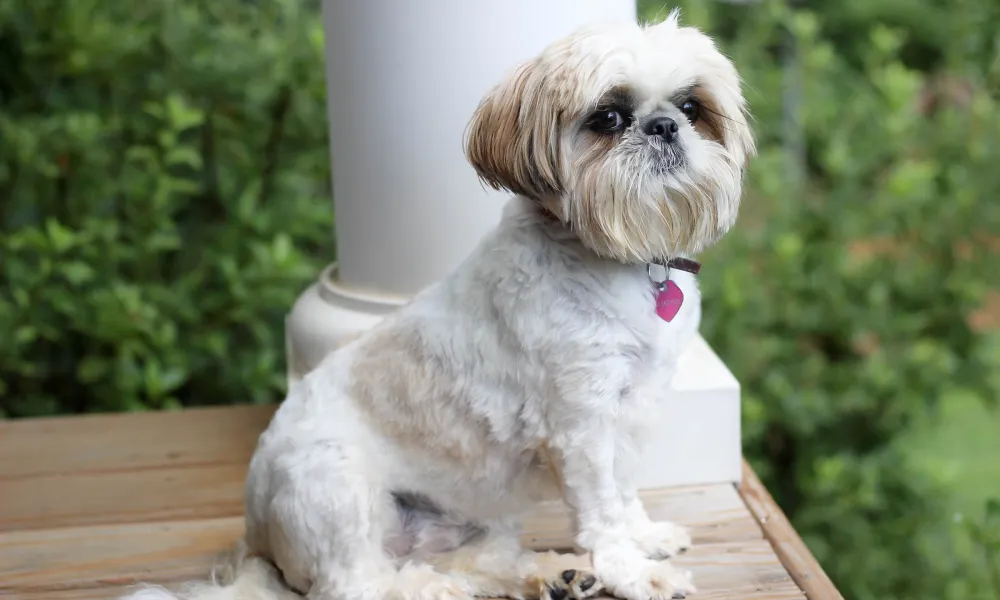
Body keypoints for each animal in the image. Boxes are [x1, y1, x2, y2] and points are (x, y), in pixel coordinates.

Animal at [121, 8, 752, 600]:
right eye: (608, 119)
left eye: (692, 106)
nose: (664, 125)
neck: (618, 257)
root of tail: (257, 539)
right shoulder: (582, 425)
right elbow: (602, 510)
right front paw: (633, 571)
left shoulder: (632, 408)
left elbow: (624, 491)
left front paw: (644, 538)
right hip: (338, 485)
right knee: (358, 584)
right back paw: (441, 586)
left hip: (473, 517)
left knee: (474, 560)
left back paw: (552, 573)